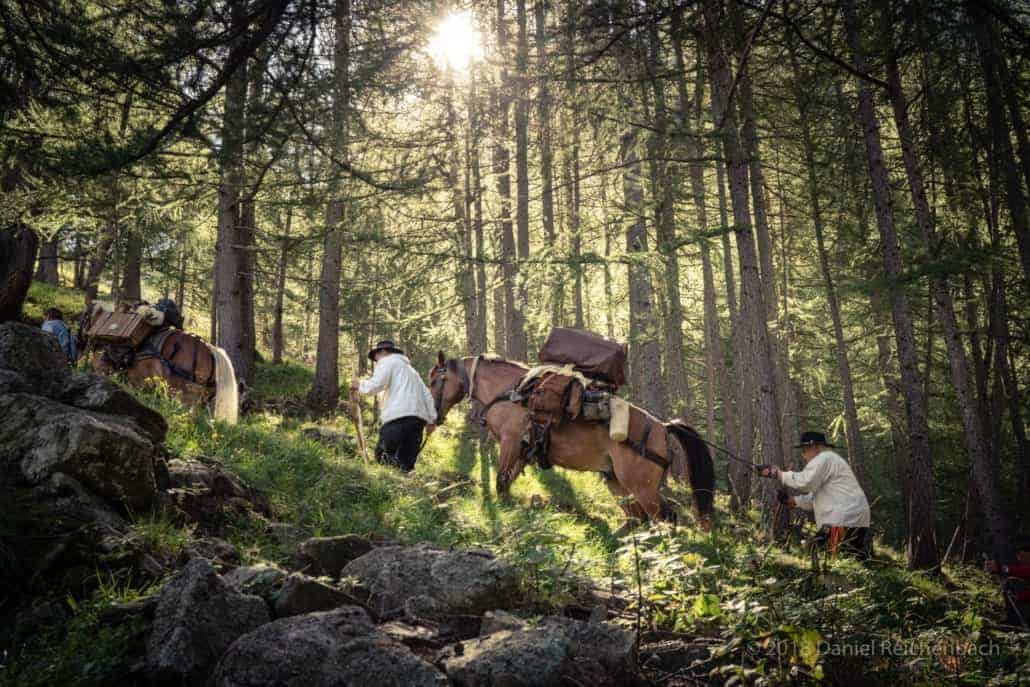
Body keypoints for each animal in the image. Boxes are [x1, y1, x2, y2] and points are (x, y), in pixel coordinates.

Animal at [428, 352, 716, 531]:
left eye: (434, 380)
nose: (433, 416)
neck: (509, 392)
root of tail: (662, 428)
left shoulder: (510, 443)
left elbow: (501, 481)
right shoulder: (521, 449)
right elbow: (506, 483)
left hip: (641, 487)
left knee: (663, 518)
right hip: (616, 481)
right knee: (637, 518)